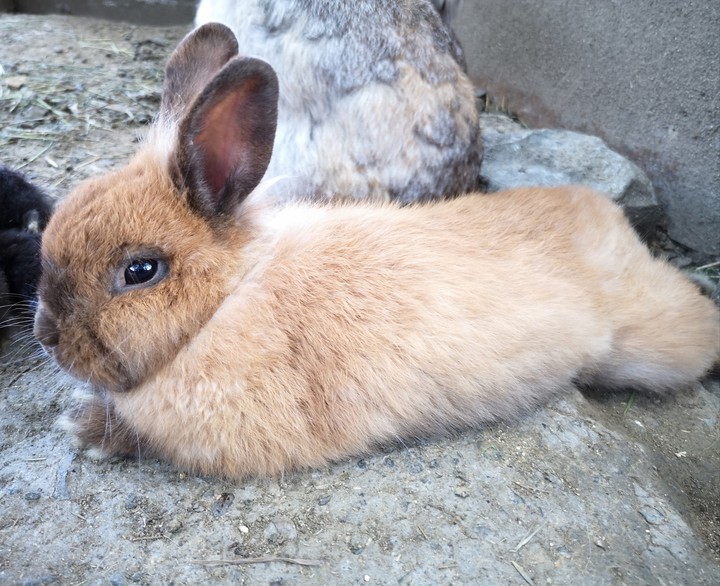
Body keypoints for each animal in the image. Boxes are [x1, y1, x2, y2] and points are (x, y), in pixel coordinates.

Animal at [33, 24, 720, 479]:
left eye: (140, 271)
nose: (46, 336)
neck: (227, 300)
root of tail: (610, 218)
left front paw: (84, 428)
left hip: (650, 343)